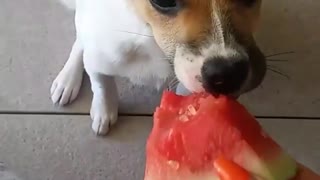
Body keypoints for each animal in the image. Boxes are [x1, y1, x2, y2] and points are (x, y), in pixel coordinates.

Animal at [51, 0, 266, 135]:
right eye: (164, 0)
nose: (228, 74)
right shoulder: (98, 58)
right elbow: (102, 85)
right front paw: (104, 110)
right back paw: (67, 80)